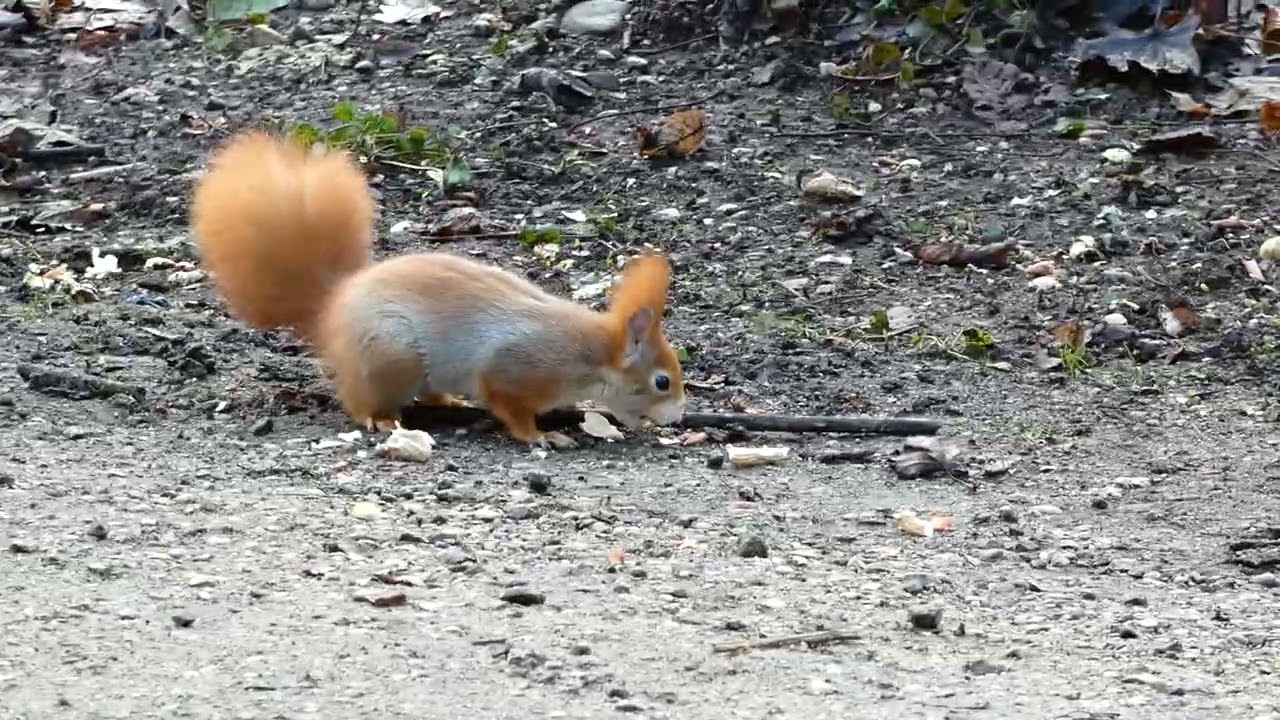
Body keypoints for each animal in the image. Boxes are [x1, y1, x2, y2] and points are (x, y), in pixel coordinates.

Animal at [188, 131, 686, 446]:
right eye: (661, 381)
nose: (679, 415)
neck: (589, 355)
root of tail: (332, 308)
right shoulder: (514, 368)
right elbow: (509, 406)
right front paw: (541, 436)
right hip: (390, 355)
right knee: (359, 400)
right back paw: (382, 418)